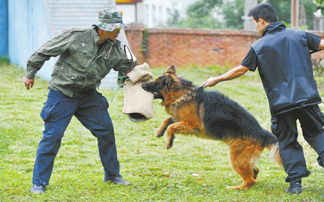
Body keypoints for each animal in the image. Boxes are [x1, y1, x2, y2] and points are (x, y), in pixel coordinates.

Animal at [142, 66, 280, 189]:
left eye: (156, 83)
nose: (142, 85)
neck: (183, 94)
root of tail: (263, 133)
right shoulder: (180, 117)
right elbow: (168, 120)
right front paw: (159, 131)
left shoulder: (192, 125)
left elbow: (171, 126)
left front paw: (169, 141)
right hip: (243, 158)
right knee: (255, 170)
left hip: (237, 158)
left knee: (250, 179)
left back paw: (237, 187)